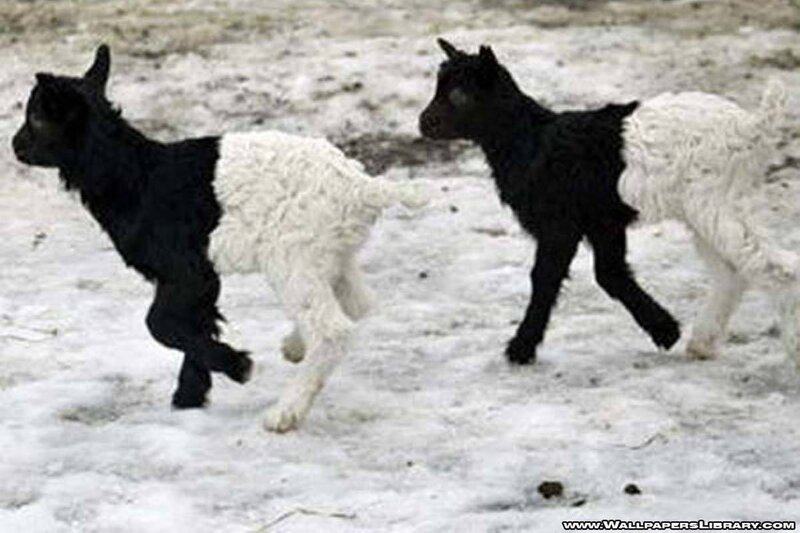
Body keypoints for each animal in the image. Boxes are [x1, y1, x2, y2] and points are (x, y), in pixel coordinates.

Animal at [12, 45, 427, 432]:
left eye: (36, 118)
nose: (15, 145)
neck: (134, 175)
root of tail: (361, 186)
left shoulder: (186, 272)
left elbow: (159, 324)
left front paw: (237, 366)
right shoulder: (200, 281)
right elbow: (191, 326)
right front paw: (190, 395)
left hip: (290, 259)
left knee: (333, 330)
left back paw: (285, 412)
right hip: (330, 255)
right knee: (356, 304)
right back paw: (295, 346)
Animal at [419, 39, 796, 367]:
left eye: (459, 94)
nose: (423, 123)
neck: (530, 140)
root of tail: (753, 127)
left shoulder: (561, 224)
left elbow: (545, 279)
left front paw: (520, 349)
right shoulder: (602, 221)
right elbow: (610, 273)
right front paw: (666, 330)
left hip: (716, 202)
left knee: (774, 266)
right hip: (708, 209)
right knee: (733, 272)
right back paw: (701, 342)